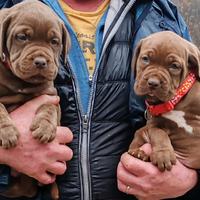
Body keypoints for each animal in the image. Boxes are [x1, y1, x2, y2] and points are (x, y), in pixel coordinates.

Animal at [0, 0, 70, 199]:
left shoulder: (51, 95)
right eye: (22, 37)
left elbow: (48, 107)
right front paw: (7, 132)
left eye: (54, 42)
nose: (40, 61)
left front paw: (45, 127)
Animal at [129, 30, 200, 172]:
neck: (175, 101)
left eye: (174, 66)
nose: (153, 83)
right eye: (145, 59)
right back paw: (137, 153)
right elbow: (159, 133)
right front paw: (163, 155)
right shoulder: (153, 124)